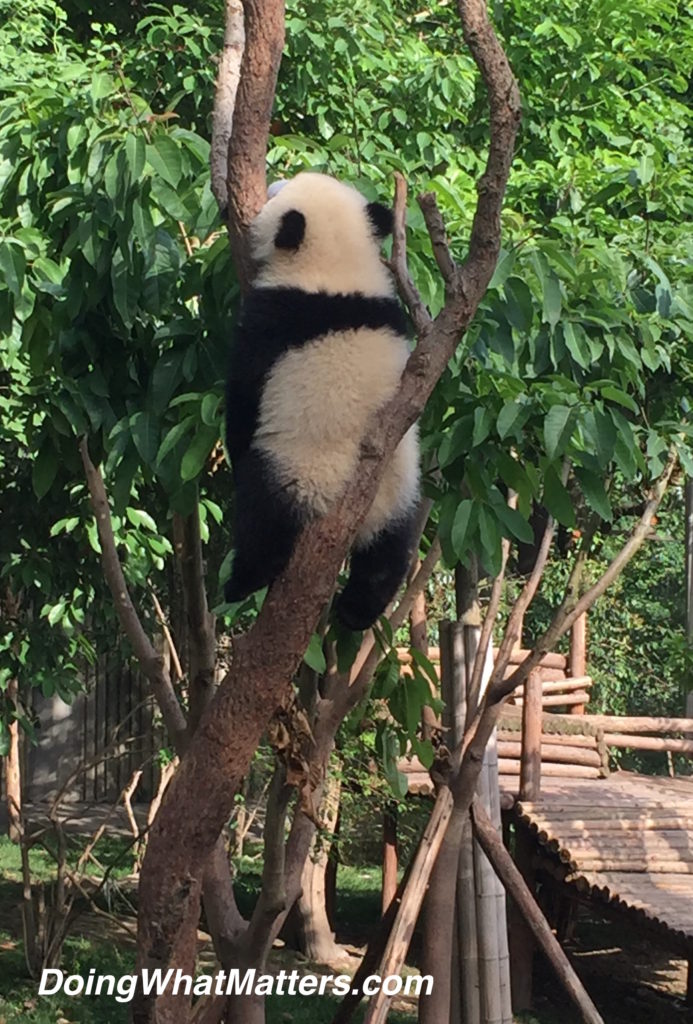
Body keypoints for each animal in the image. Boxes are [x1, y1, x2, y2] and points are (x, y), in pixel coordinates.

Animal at [224, 171, 420, 631]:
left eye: (278, 191)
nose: (274, 181)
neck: (336, 269)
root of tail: (364, 514)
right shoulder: (392, 312)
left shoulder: (270, 321)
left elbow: (244, 399)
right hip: (402, 489)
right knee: (388, 554)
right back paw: (356, 611)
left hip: (296, 470)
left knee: (263, 517)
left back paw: (243, 581)